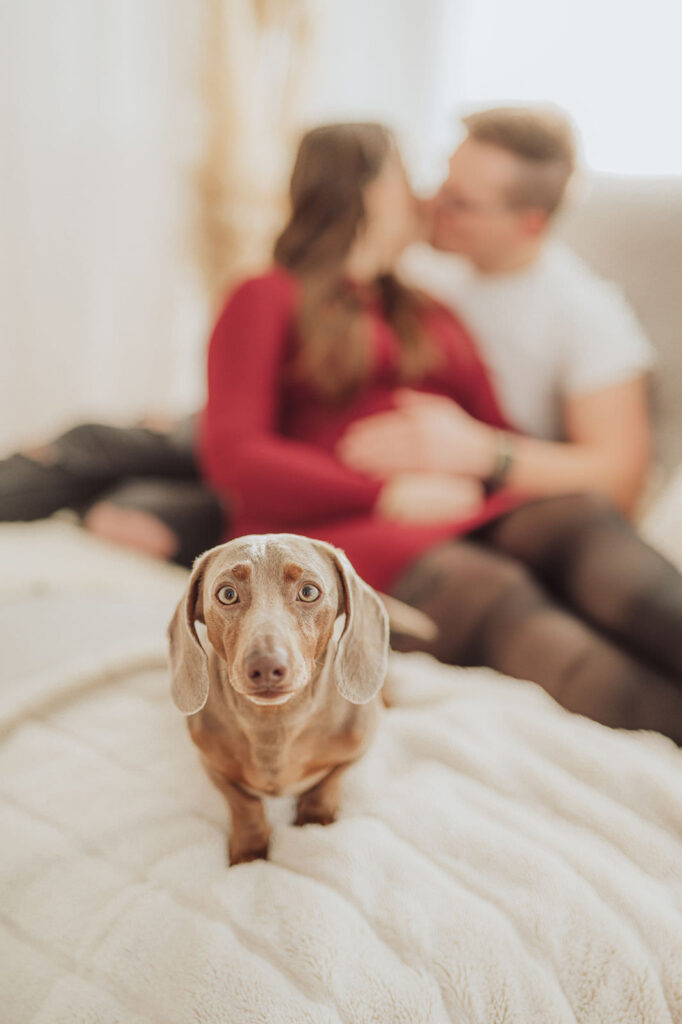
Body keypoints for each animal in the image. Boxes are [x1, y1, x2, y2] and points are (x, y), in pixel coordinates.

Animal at [166, 536, 391, 864]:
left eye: (308, 592)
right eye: (227, 594)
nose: (266, 666)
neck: (275, 726)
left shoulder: (359, 745)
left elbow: (330, 780)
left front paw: (314, 820)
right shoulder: (210, 763)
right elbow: (243, 802)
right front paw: (250, 851)